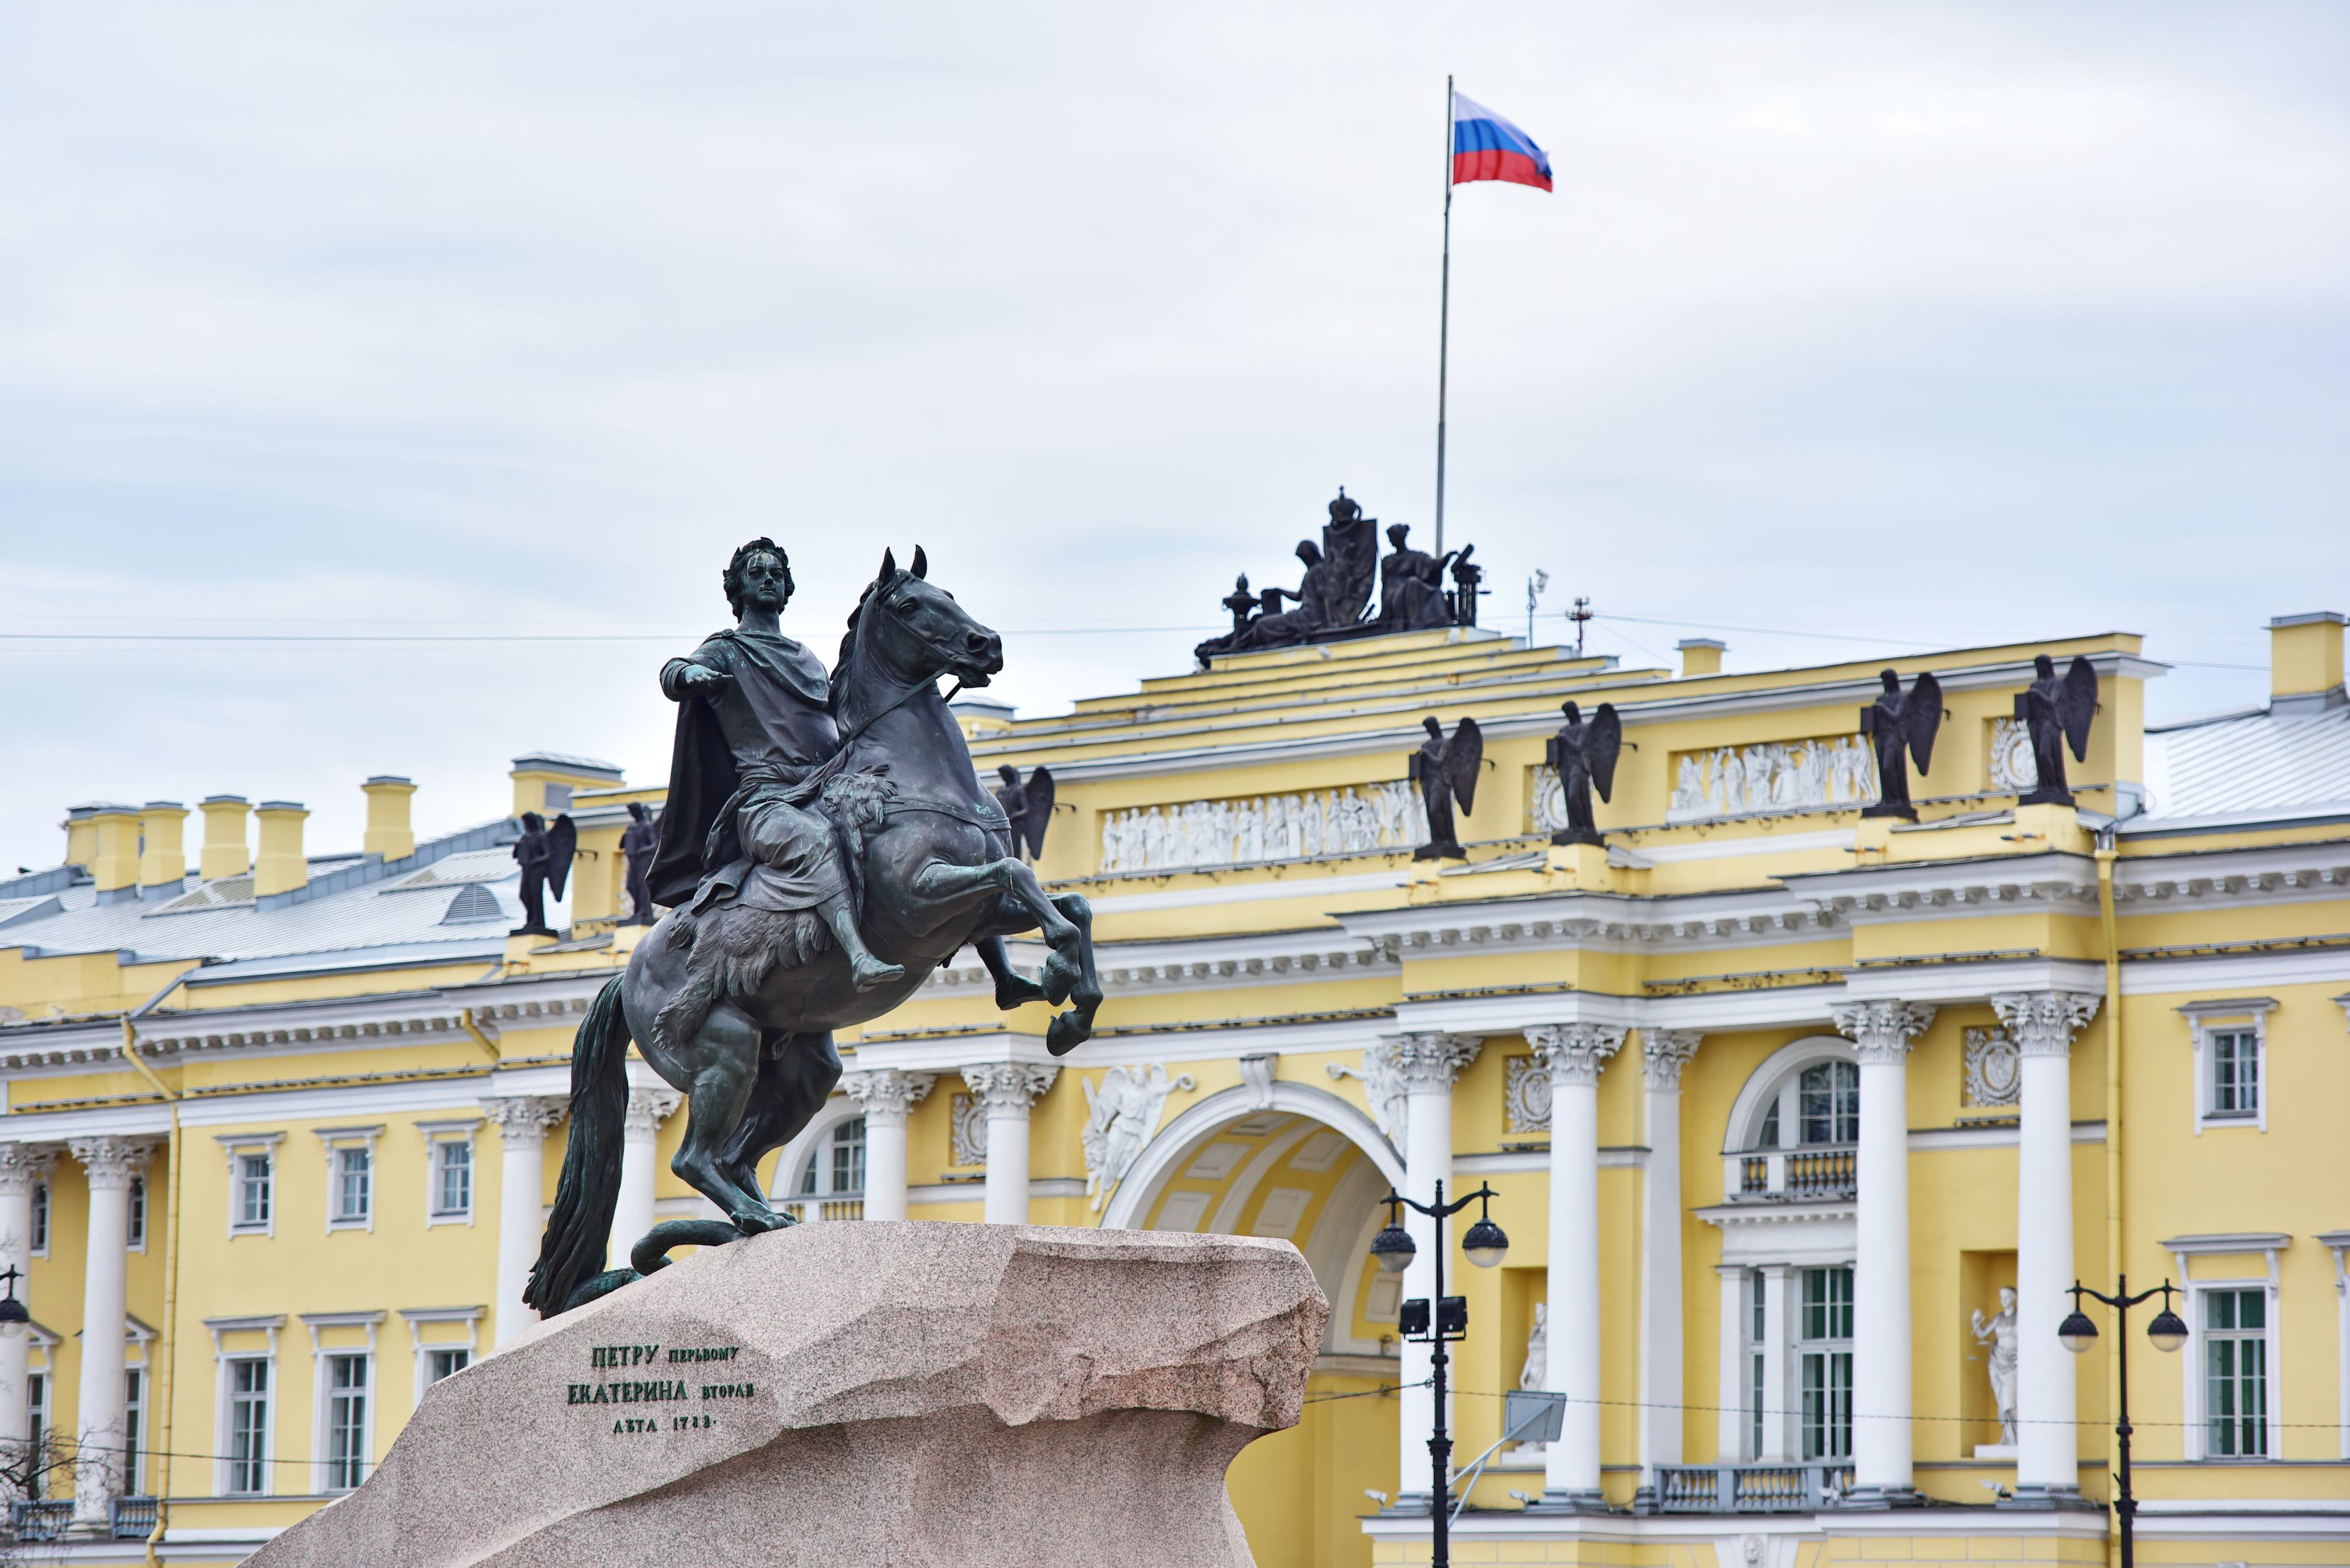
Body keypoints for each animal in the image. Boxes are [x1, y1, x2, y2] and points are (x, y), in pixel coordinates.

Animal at [538, 550, 1104, 1316]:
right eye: (910, 606)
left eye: (950, 592)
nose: (986, 645)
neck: (911, 774)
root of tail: (625, 979)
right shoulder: (921, 901)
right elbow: (1018, 871)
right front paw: (1057, 981)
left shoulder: (972, 911)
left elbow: (1068, 903)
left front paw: (1064, 1001)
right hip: (723, 1054)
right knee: (696, 1158)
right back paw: (756, 1219)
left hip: (803, 1070)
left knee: (737, 1156)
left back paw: (763, 1219)